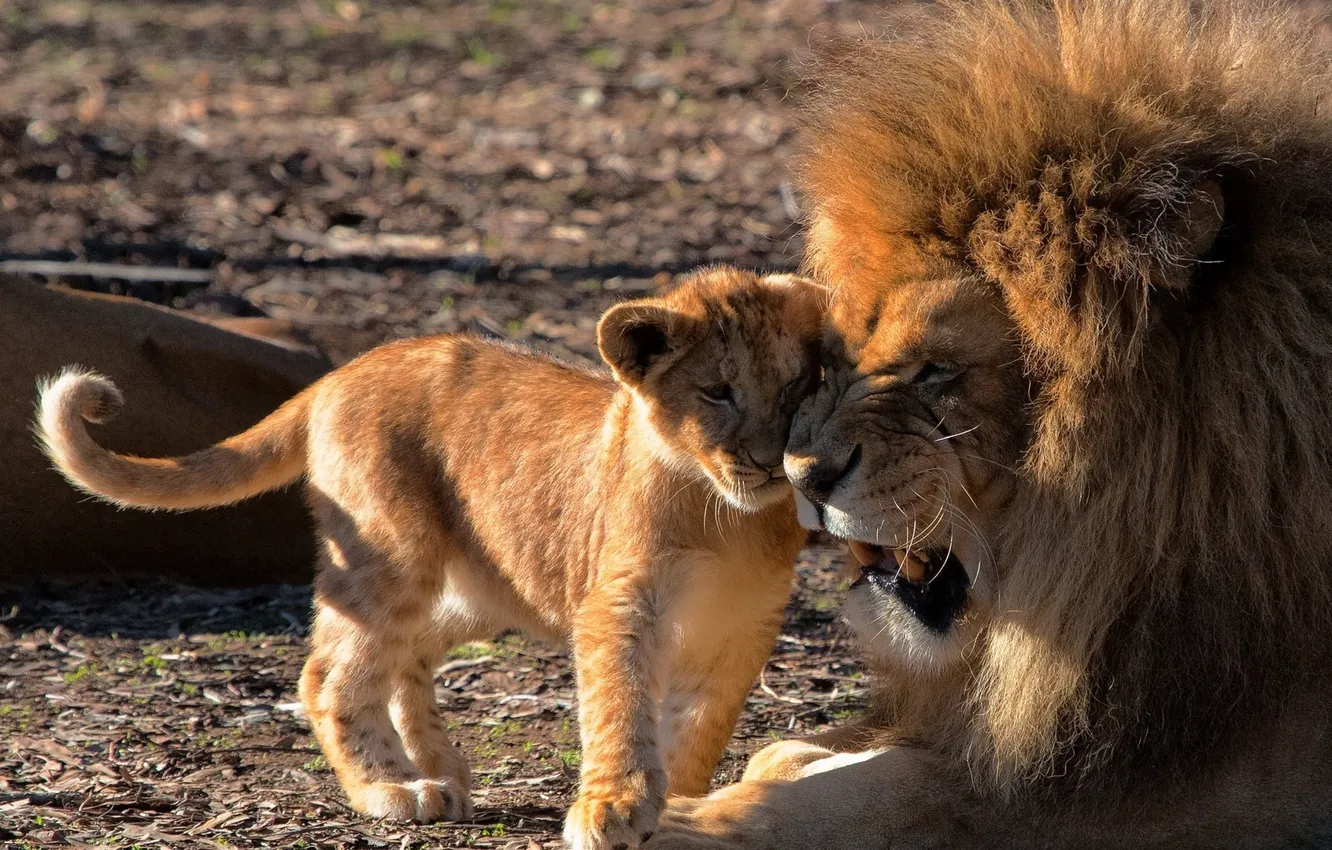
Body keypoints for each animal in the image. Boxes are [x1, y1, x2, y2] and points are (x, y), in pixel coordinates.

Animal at [35, 267, 823, 850]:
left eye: (796, 388)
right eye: (716, 392)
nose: (766, 460)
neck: (729, 517)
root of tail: (340, 372)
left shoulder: (747, 626)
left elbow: (698, 727)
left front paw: (683, 806)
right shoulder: (622, 600)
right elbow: (620, 706)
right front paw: (613, 806)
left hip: (479, 587)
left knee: (406, 654)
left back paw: (440, 768)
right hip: (390, 554)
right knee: (331, 673)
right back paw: (394, 788)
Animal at [645, 2, 1332, 847]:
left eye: (936, 372)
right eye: (837, 358)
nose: (803, 476)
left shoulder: (1195, 783)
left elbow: (907, 789)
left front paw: (679, 821)